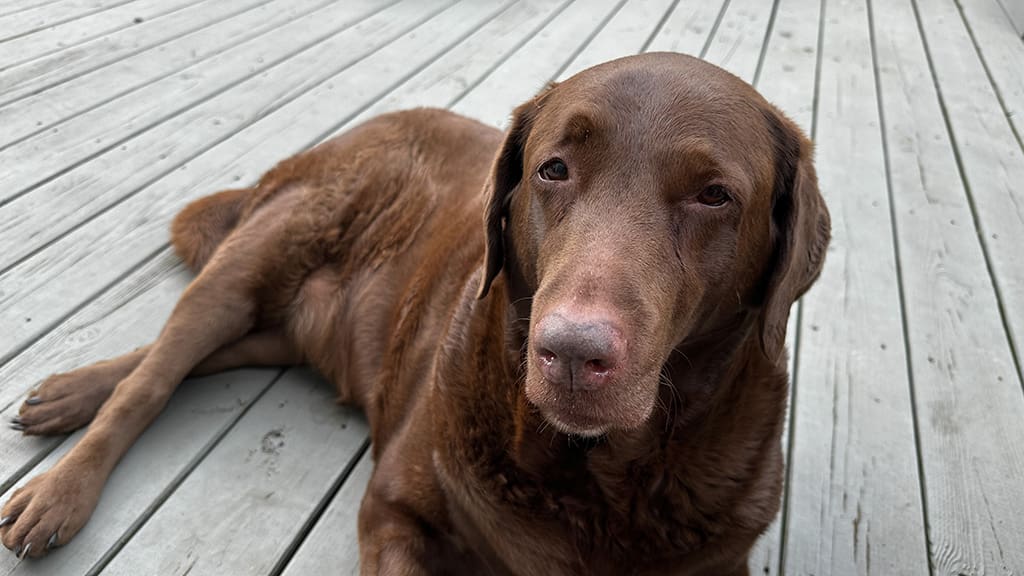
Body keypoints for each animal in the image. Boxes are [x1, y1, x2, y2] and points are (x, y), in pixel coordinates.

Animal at [0, 51, 827, 569]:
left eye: (714, 195)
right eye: (554, 170)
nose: (569, 352)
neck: (599, 479)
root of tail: (360, 126)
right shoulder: (392, 512)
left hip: (281, 329)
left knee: (192, 358)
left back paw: (65, 393)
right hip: (256, 258)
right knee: (154, 377)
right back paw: (58, 487)